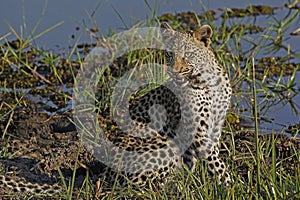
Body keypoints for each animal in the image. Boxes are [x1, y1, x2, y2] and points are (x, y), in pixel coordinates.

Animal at [0, 22, 232, 195]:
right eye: (168, 55)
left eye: (187, 54)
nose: (173, 72)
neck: (206, 81)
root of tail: (104, 176)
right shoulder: (196, 130)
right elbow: (216, 164)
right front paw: (229, 186)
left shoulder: (214, 126)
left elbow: (213, 159)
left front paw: (218, 184)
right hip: (160, 141)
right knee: (139, 186)